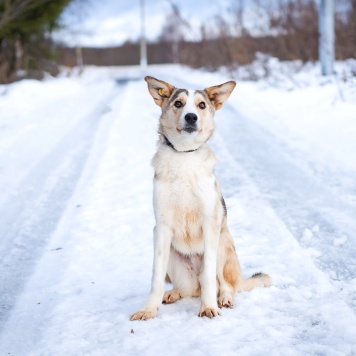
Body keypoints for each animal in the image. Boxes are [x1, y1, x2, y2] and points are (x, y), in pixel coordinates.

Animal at [131, 76, 270, 320]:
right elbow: (156, 278)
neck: (184, 156)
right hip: (173, 255)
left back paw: (223, 298)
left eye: (201, 105)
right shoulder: (162, 228)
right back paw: (173, 293)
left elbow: (208, 278)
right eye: (178, 103)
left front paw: (209, 307)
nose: (191, 117)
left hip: (222, 244)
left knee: (224, 284)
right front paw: (148, 310)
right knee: (189, 289)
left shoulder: (209, 223)